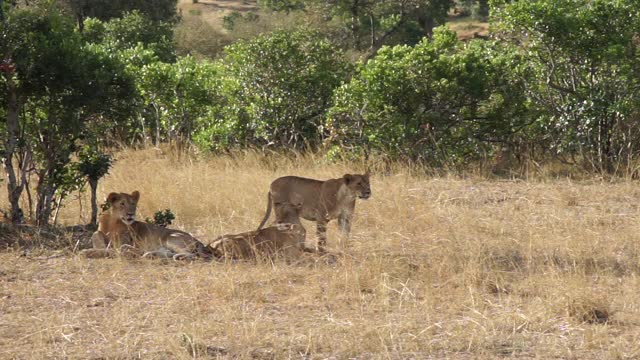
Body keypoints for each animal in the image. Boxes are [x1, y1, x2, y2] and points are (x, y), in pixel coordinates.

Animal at [80, 191, 212, 258]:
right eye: (122, 203)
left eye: (133, 204)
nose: (131, 214)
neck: (112, 222)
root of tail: (198, 241)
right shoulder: (100, 232)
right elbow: (97, 235)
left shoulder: (121, 243)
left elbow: (111, 250)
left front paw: (86, 252)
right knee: (167, 253)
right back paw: (149, 254)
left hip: (171, 238)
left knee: (190, 255)